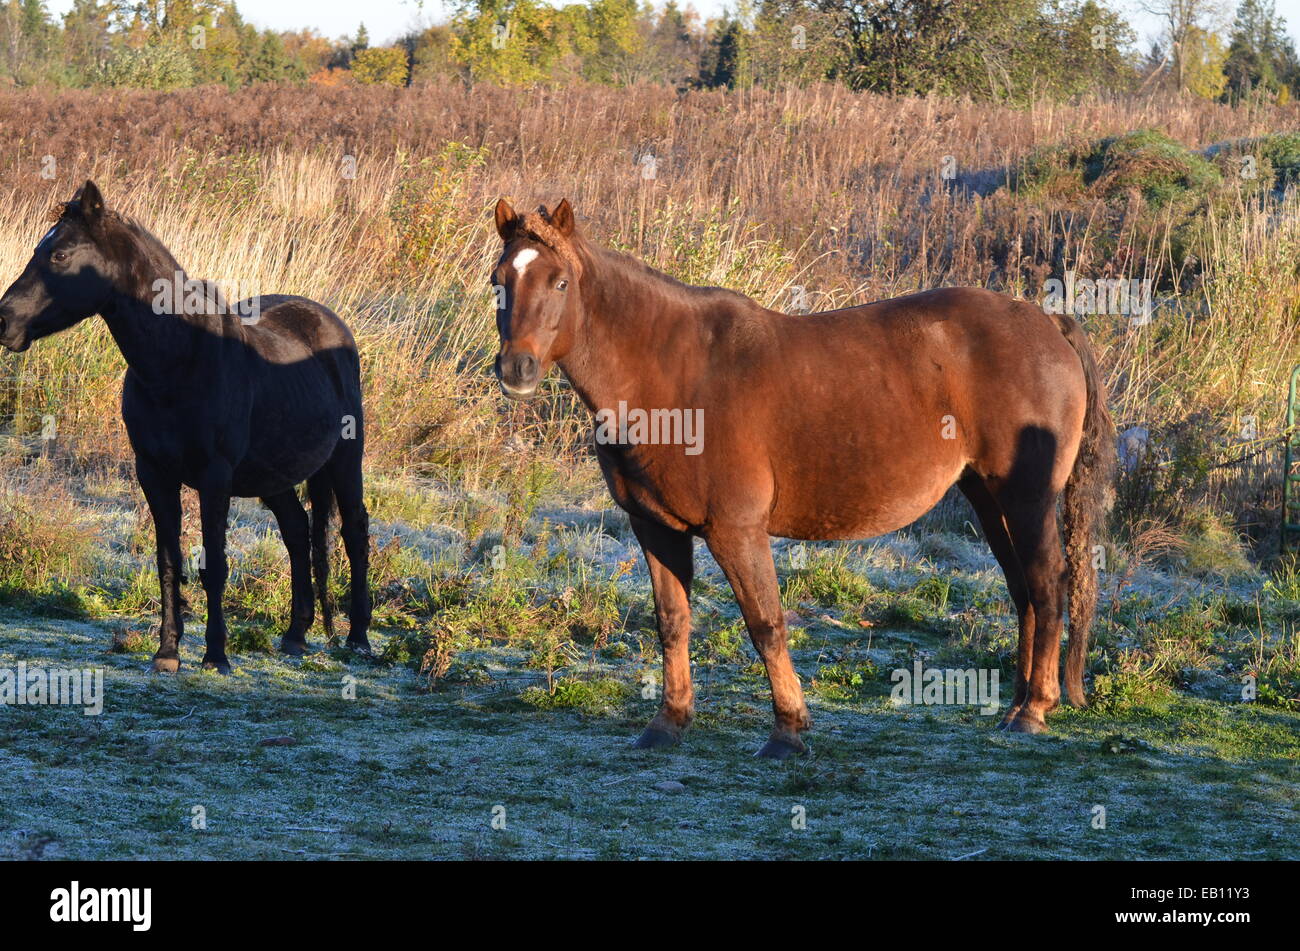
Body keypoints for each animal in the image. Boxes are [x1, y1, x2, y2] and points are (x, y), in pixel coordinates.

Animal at [0, 181, 371, 670]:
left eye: (60, 255)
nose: (3, 320)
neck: (180, 360)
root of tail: (328, 323)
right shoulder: (154, 473)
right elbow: (169, 561)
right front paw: (168, 652)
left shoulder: (215, 477)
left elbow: (214, 564)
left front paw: (216, 655)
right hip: (272, 475)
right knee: (297, 531)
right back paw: (295, 634)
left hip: (346, 460)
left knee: (353, 533)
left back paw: (359, 638)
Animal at [491, 198, 1112, 758]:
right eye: (500, 281)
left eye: (561, 282)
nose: (516, 369)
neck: (670, 378)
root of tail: (1046, 321)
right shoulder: (656, 528)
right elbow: (672, 622)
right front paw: (668, 723)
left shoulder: (736, 531)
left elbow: (766, 624)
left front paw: (787, 730)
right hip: (988, 496)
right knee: (1022, 588)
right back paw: (1016, 704)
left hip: (1027, 497)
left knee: (1047, 581)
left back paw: (1034, 710)